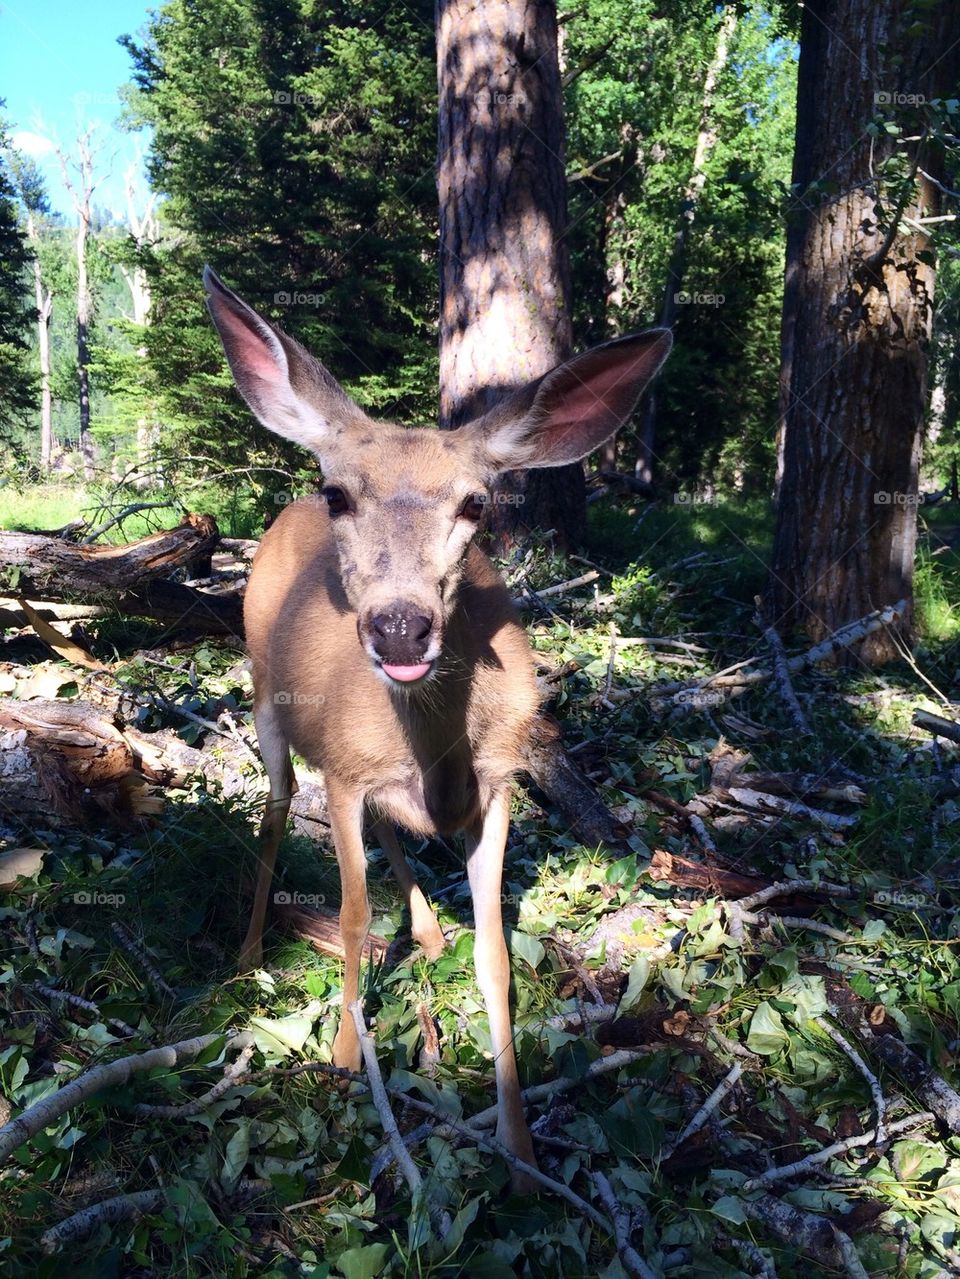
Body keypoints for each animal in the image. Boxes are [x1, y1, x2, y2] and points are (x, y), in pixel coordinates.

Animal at [204, 266, 671, 1191]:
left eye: (476, 504)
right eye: (341, 493)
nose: (398, 627)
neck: (434, 749)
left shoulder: (497, 788)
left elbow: (495, 954)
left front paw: (520, 1144)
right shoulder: (345, 774)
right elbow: (352, 916)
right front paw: (345, 1058)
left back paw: (423, 928)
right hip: (266, 699)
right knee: (275, 805)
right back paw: (247, 950)